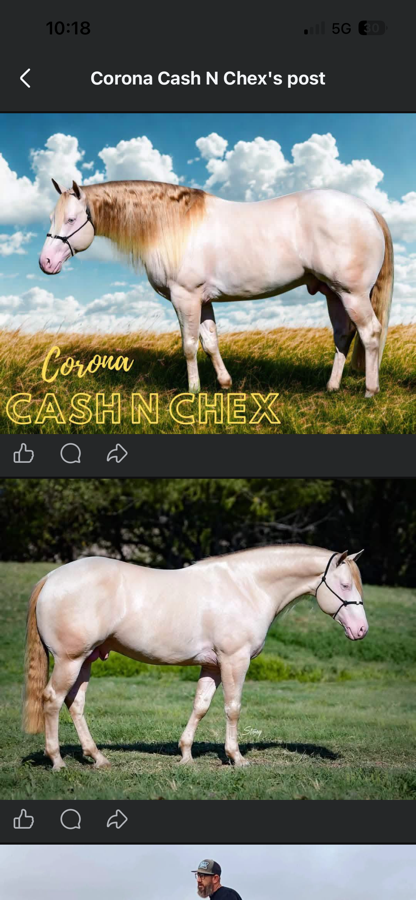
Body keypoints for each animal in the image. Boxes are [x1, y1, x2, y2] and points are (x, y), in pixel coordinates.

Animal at [23, 545, 367, 770]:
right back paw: (57, 761)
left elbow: (200, 706)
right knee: (52, 700)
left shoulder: (212, 665)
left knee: (75, 703)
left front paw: (186, 754)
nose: (361, 629)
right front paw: (236, 757)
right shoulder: (234, 660)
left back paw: (98, 758)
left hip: (86, 660)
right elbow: (232, 708)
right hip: (69, 660)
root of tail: (51, 578)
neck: (246, 587)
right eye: (344, 584)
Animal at [39, 179, 393, 398]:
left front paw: (193, 390)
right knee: (343, 336)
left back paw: (369, 391)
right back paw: (331, 387)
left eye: (71, 220)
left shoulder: (185, 297)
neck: (172, 225)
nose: (45, 262)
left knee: (371, 333)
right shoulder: (203, 299)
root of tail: (368, 210)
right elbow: (209, 342)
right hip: (334, 294)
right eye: (52, 217)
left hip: (352, 294)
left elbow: (189, 345)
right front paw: (224, 383)